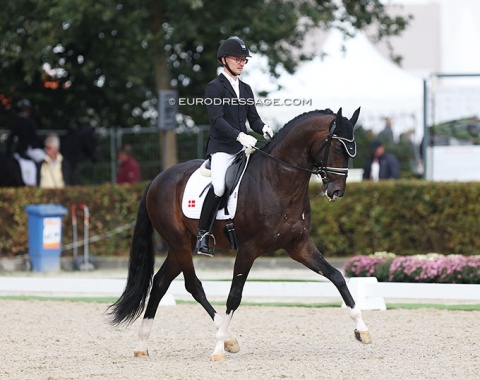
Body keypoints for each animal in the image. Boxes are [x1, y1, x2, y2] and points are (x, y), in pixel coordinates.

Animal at [109, 107, 372, 360]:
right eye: (337, 147)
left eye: (351, 150)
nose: (336, 191)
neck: (278, 181)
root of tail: (158, 179)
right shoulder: (248, 249)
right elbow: (234, 296)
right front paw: (217, 349)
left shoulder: (298, 246)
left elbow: (336, 276)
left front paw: (362, 330)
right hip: (180, 243)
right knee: (193, 285)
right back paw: (227, 339)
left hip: (181, 245)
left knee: (161, 282)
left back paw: (142, 345)